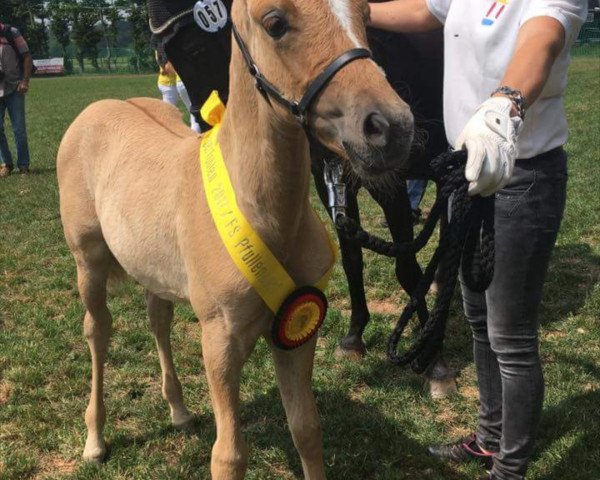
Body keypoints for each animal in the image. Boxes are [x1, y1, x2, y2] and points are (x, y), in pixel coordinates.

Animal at [56, 1, 412, 478]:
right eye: (274, 22)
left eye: (365, 14)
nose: (391, 127)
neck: (263, 215)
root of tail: (97, 110)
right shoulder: (219, 341)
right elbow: (228, 455)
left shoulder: (297, 333)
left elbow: (306, 429)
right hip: (88, 261)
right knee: (98, 330)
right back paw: (95, 440)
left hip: (154, 269)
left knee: (158, 320)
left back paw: (179, 412)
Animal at [149, 0, 454, 398]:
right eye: (168, 56)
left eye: (195, 49)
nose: (204, 124)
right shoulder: (330, 178)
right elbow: (352, 259)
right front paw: (354, 337)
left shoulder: (389, 182)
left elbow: (406, 267)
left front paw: (434, 363)